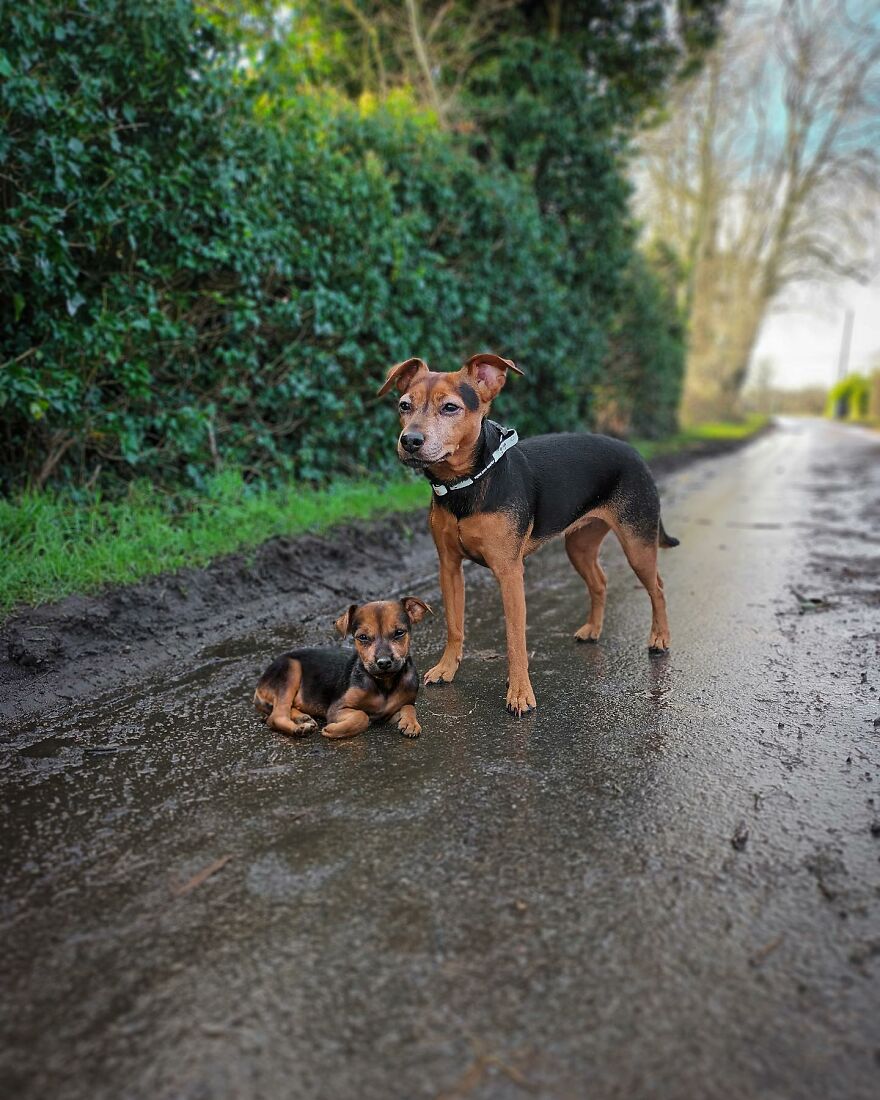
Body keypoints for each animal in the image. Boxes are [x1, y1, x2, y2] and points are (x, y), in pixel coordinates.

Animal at [253, 598, 431, 743]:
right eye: (363, 637)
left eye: (399, 633)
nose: (384, 663)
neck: (383, 684)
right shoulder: (336, 709)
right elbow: (362, 715)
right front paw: (334, 729)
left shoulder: (396, 708)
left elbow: (409, 707)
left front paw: (411, 723)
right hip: (290, 670)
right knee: (275, 717)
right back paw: (299, 728)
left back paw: (302, 718)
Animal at [378, 347, 682, 717]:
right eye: (404, 405)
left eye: (450, 407)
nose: (410, 441)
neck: (467, 484)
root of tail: (635, 453)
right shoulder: (449, 567)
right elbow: (454, 624)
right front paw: (447, 668)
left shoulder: (510, 572)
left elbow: (515, 639)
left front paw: (520, 693)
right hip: (579, 545)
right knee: (600, 582)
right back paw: (593, 630)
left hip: (637, 543)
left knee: (658, 588)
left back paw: (660, 638)